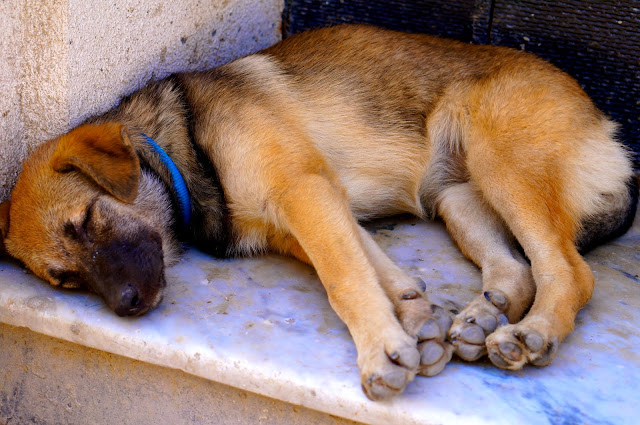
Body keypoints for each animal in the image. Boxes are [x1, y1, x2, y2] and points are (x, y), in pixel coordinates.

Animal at [0, 24, 636, 400]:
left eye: (87, 221)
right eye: (65, 280)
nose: (128, 308)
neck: (180, 150)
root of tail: (604, 126)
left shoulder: (304, 191)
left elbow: (344, 278)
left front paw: (381, 352)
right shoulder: (313, 211)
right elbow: (374, 267)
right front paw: (414, 318)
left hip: (500, 158)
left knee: (569, 270)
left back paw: (531, 333)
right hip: (456, 197)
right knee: (519, 269)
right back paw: (484, 316)